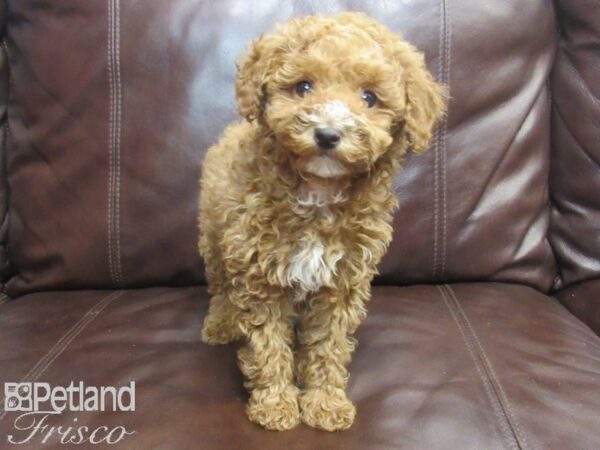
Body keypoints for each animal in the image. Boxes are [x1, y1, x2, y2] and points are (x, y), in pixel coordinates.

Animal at [199, 12, 442, 430]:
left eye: (369, 97)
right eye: (303, 86)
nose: (328, 134)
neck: (318, 194)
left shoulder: (341, 283)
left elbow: (328, 346)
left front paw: (325, 402)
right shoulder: (259, 276)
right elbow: (268, 344)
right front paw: (276, 403)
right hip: (215, 237)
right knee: (220, 287)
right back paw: (220, 323)